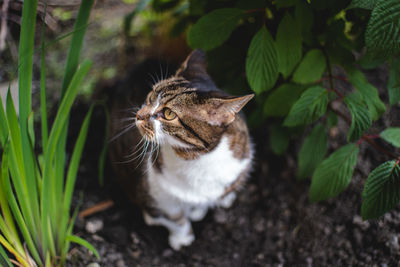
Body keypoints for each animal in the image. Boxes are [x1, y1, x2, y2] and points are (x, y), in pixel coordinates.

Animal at [109, 50, 253, 251]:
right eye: (150, 97)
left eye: (169, 114)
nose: (138, 115)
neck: (195, 157)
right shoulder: (157, 195)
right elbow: (175, 219)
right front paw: (183, 239)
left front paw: (199, 209)